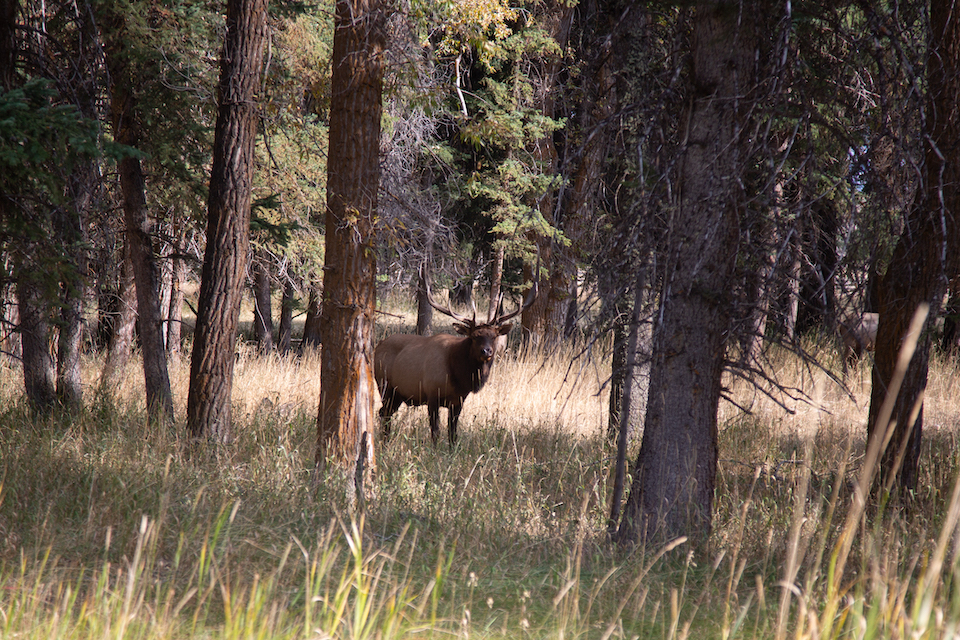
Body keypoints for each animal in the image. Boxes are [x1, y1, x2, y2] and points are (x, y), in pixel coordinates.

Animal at [374, 281, 537, 446]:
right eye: (474, 336)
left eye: (494, 336)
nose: (487, 351)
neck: (458, 378)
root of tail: (378, 346)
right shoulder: (432, 395)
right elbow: (435, 432)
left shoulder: (458, 401)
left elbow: (453, 434)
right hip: (385, 386)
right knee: (384, 413)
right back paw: (384, 443)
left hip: (397, 394)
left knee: (384, 413)